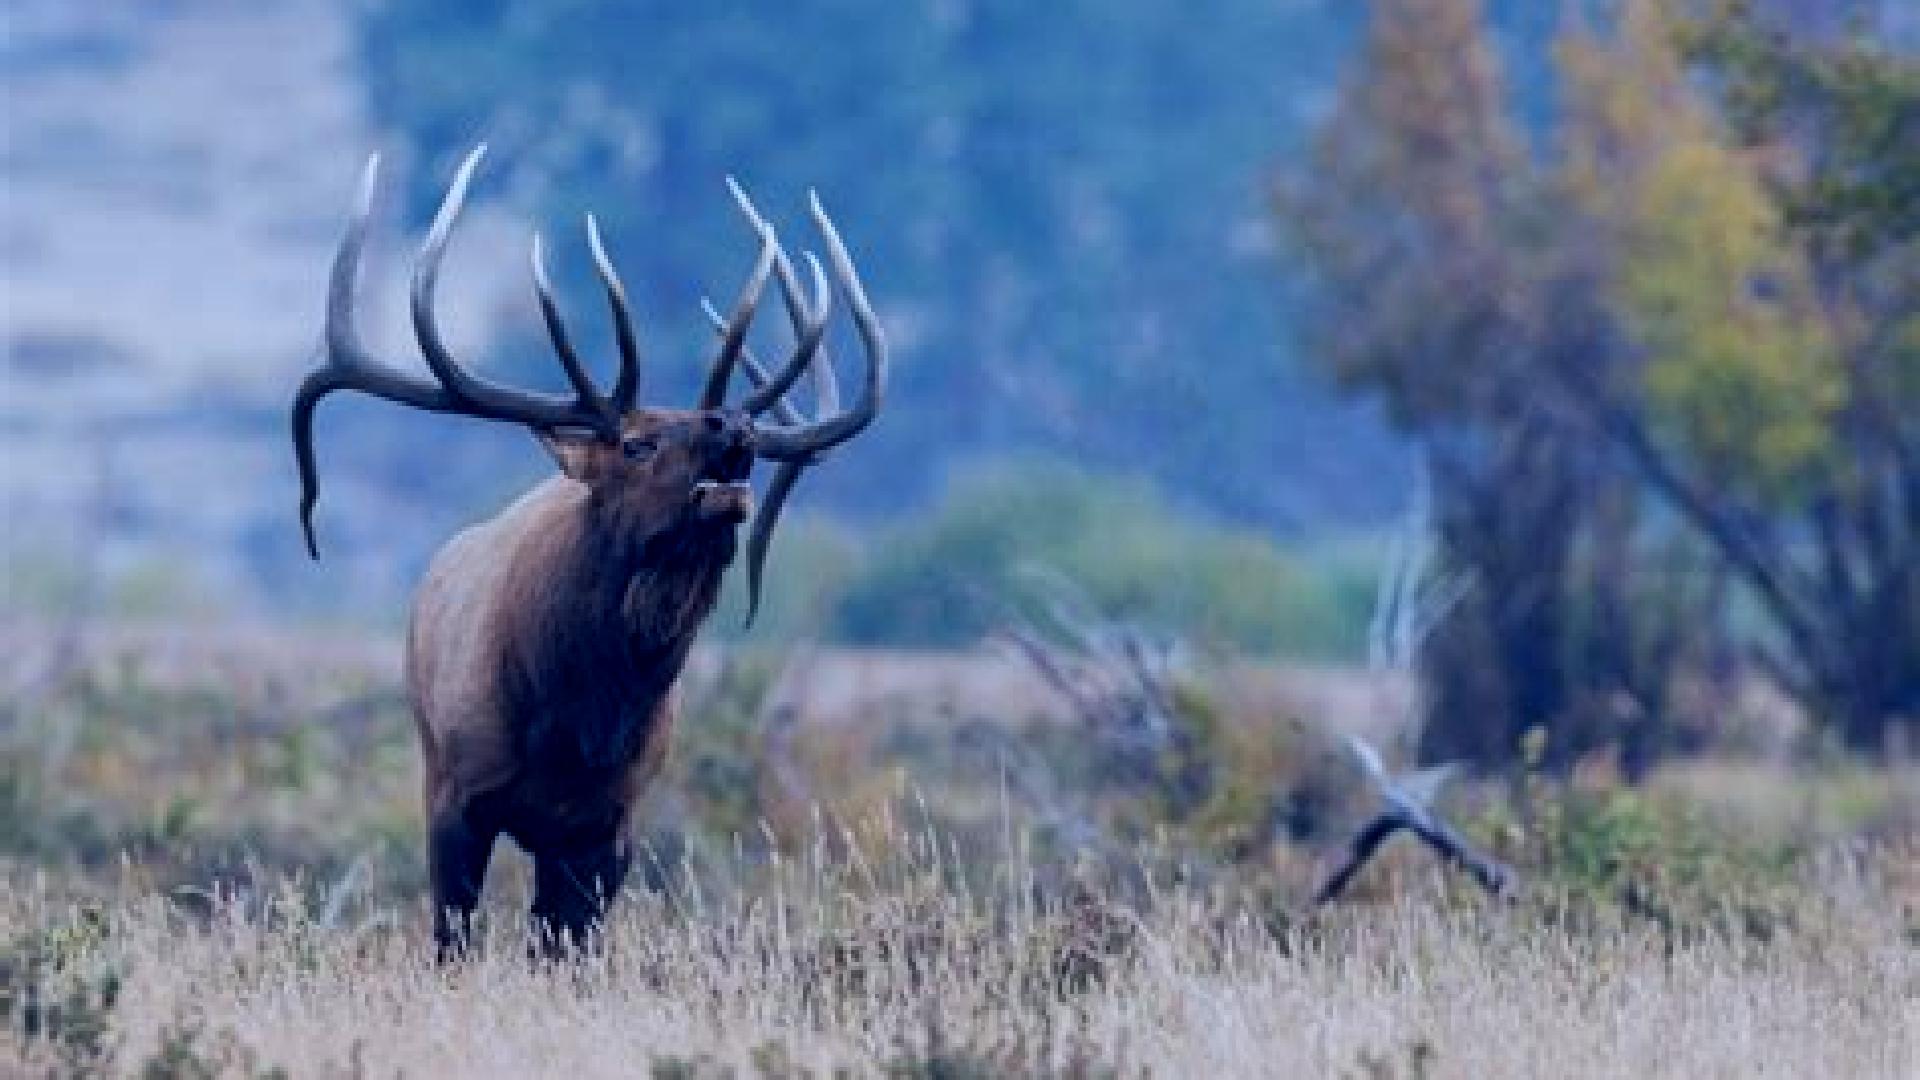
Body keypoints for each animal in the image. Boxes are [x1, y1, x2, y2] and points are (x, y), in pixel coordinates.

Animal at [289, 146, 885, 958]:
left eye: (743, 447)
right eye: (635, 442)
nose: (734, 424)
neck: (578, 720)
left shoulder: (607, 825)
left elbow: (570, 949)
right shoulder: (455, 795)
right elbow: (452, 938)